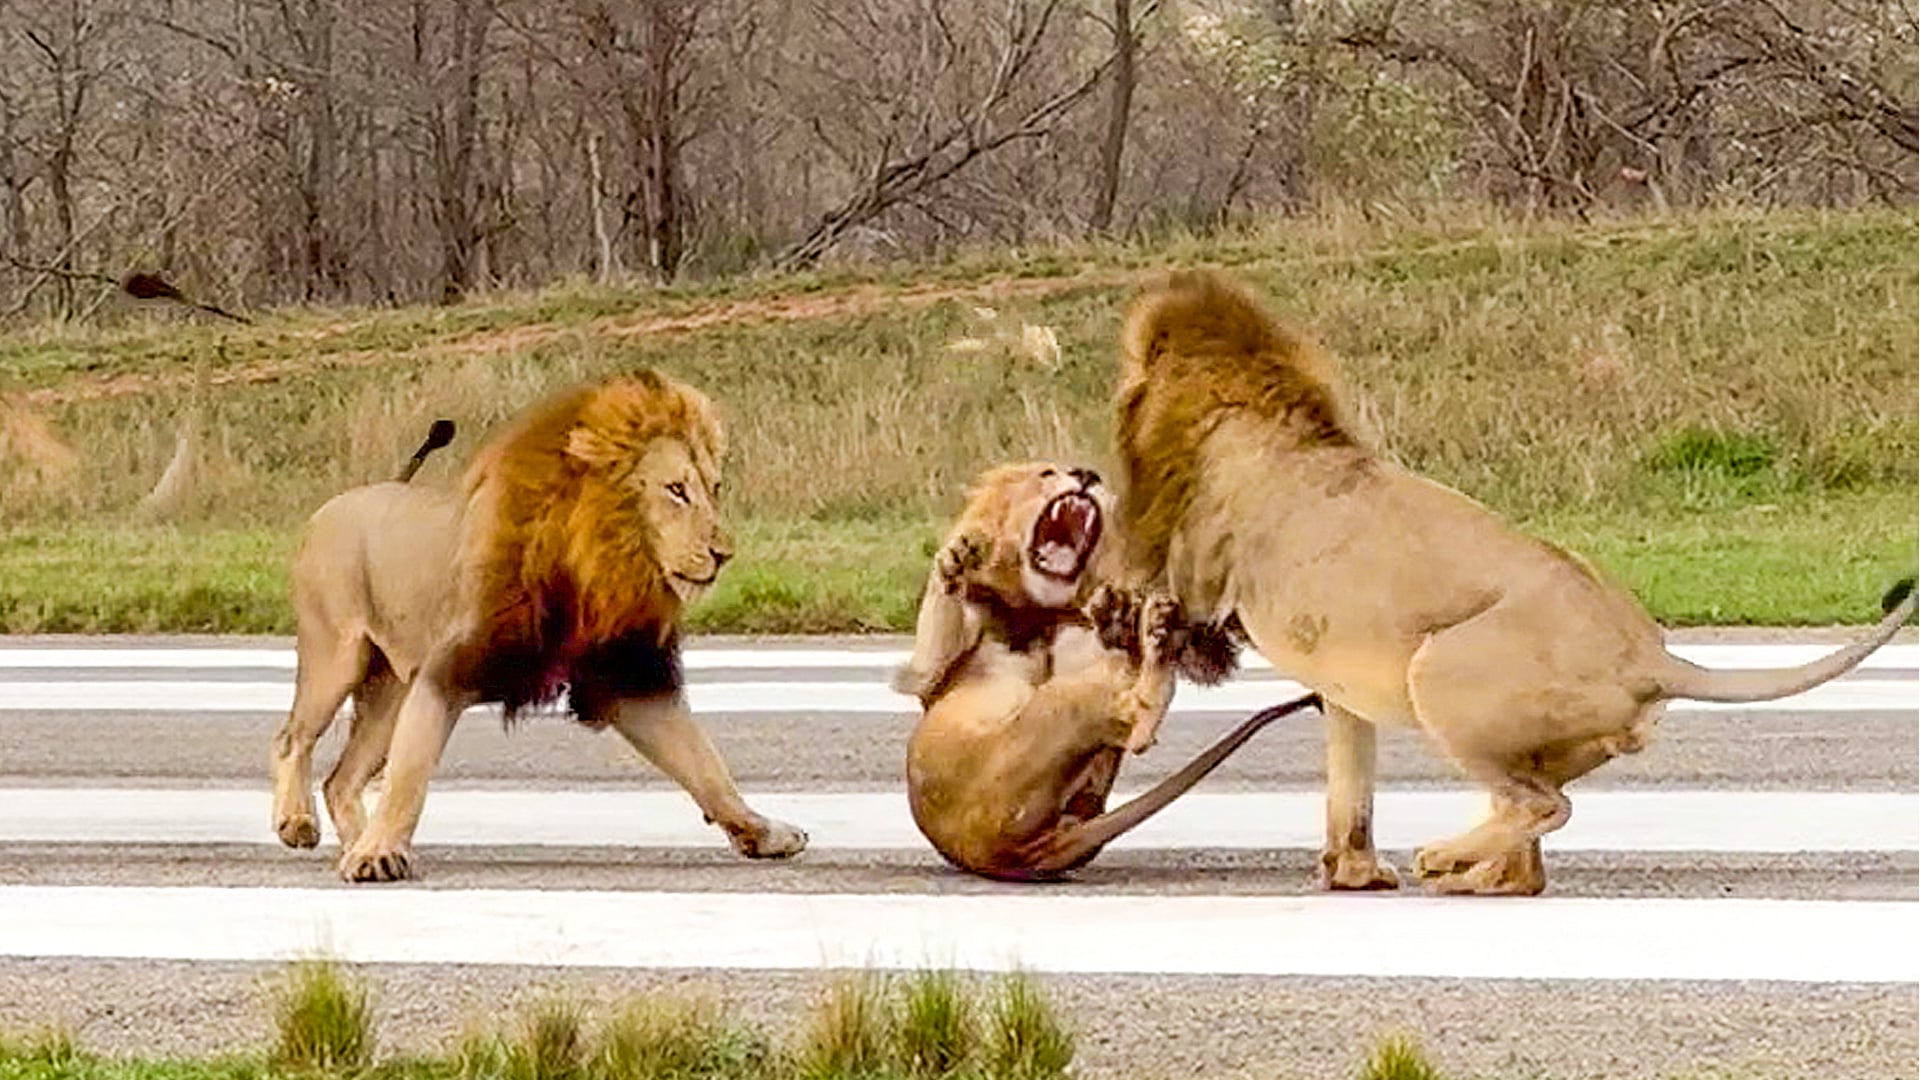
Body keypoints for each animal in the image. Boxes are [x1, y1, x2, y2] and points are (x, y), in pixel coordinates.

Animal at [268, 369, 809, 882]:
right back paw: (298, 822)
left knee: (341, 779)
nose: (723, 553)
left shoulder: (628, 679)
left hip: (391, 689)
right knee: (293, 737)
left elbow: (706, 766)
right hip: (336, 657)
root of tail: (338, 502)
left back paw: (352, 838)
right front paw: (379, 853)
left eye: (714, 490)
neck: (597, 563)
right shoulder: (447, 671)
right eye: (676, 491)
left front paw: (764, 832)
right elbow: (411, 774)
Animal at [895, 461, 1320, 881]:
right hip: (1041, 725)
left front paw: (1117, 612)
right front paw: (956, 560)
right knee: (1132, 724)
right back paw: (1154, 635)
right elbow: (937, 630)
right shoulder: (926, 675)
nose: (1086, 474)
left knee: (1128, 721)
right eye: (1046, 473)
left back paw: (1151, 628)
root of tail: (1018, 856)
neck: (1042, 611)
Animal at [1112, 270, 1918, 896]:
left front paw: (1141, 719)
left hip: (1436, 675)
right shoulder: (1337, 684)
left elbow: (1160, 640)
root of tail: (1651, 658)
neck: (1253, 411)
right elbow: (1351, 780)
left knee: (1543, 807)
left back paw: (1444, 859)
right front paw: (1354, 874)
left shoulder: (1202, 586)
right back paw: (1485, 876)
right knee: (1530, 836)